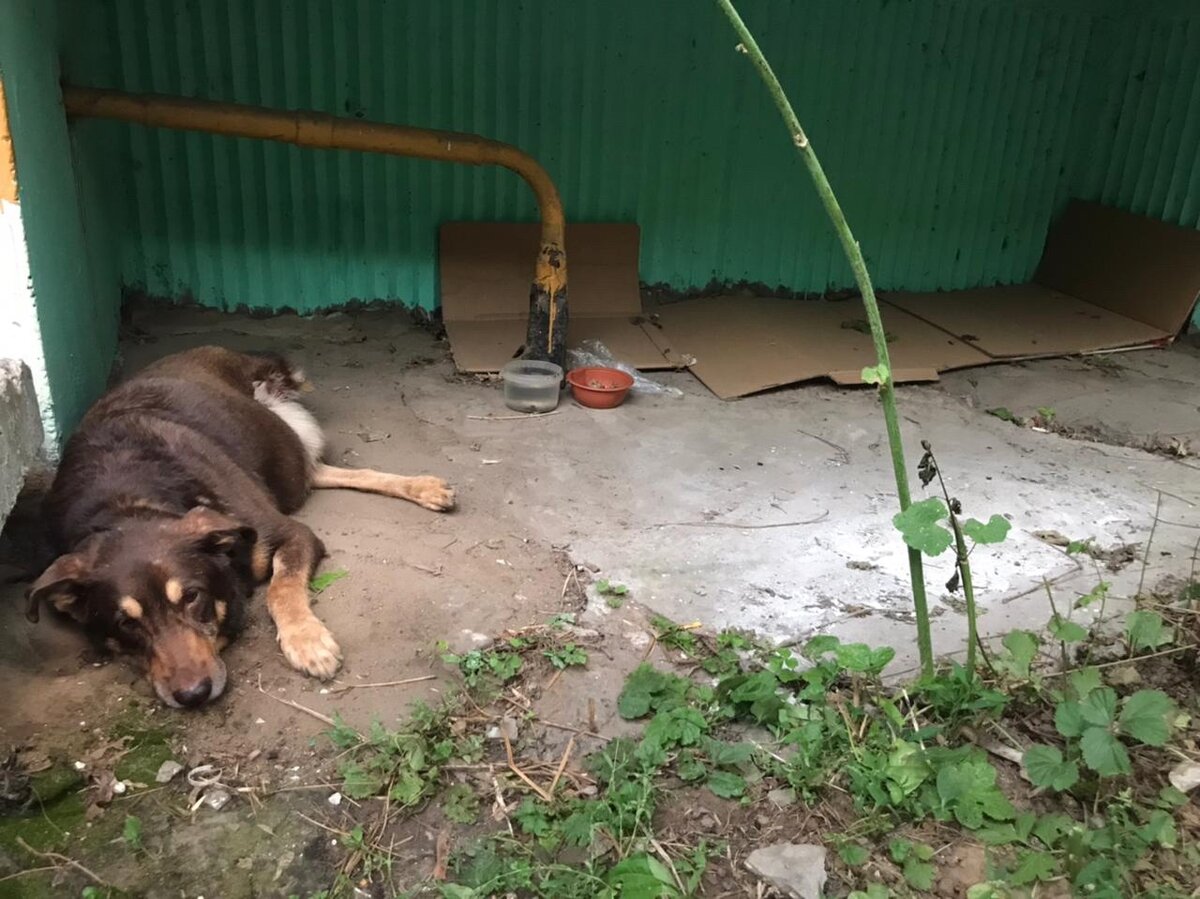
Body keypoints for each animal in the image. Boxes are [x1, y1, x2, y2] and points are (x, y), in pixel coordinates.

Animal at [24, 348, 453, 705]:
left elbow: (280, 589)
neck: (130, 503)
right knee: (324, 472)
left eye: (192, 597)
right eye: (125, 623)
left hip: (283, 462)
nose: (192, 696)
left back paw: (423, 487)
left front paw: (307, 641)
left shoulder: (292, 533)